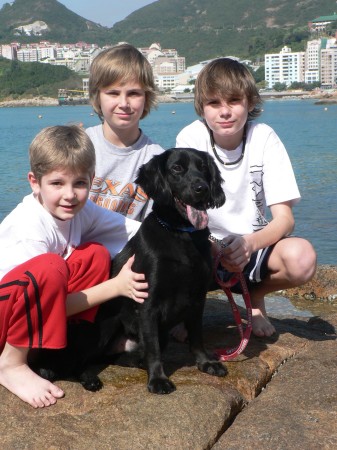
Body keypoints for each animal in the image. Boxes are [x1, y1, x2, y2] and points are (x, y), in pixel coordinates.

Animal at [34, 148, 226, 394]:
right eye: (177, 168)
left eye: (203, 168)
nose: (202, 188)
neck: (181, 234)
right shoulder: (147, 300)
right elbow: (153, 348)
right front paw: (158, 380)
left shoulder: (197, 297)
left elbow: (196, 335)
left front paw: (206, 362)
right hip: (106, 324)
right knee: (76, 362)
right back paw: (89, 378)